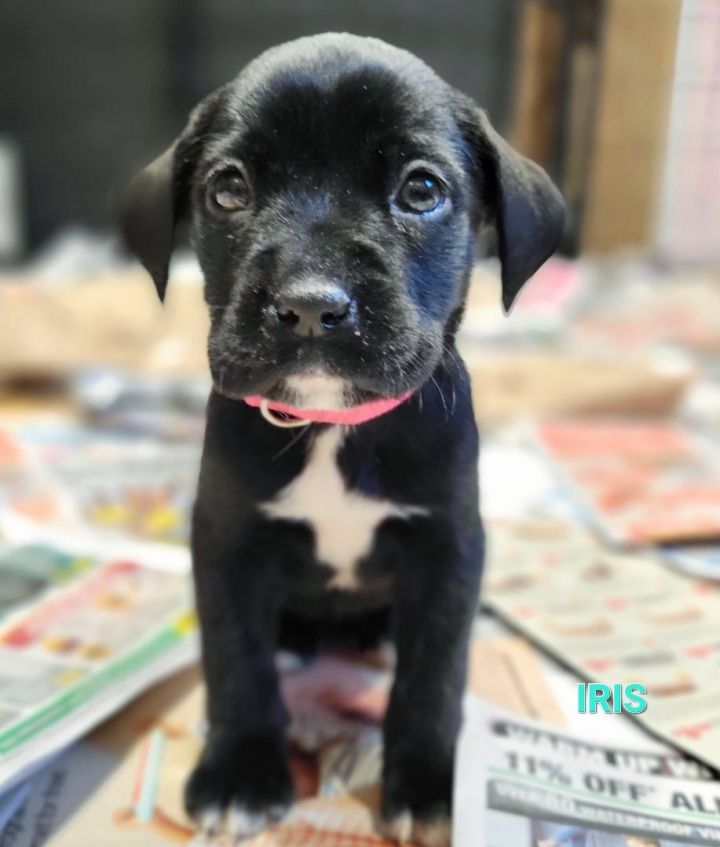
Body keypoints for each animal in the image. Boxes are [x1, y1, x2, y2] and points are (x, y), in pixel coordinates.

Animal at [122, 34, 564, 847]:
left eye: (420, 190)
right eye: (228, 190)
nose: (308, 304)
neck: (333, 429)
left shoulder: (449, 550)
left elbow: (434, 674)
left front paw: (426, 782)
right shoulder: (226, 543)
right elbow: (237, 661)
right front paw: (239, 772)